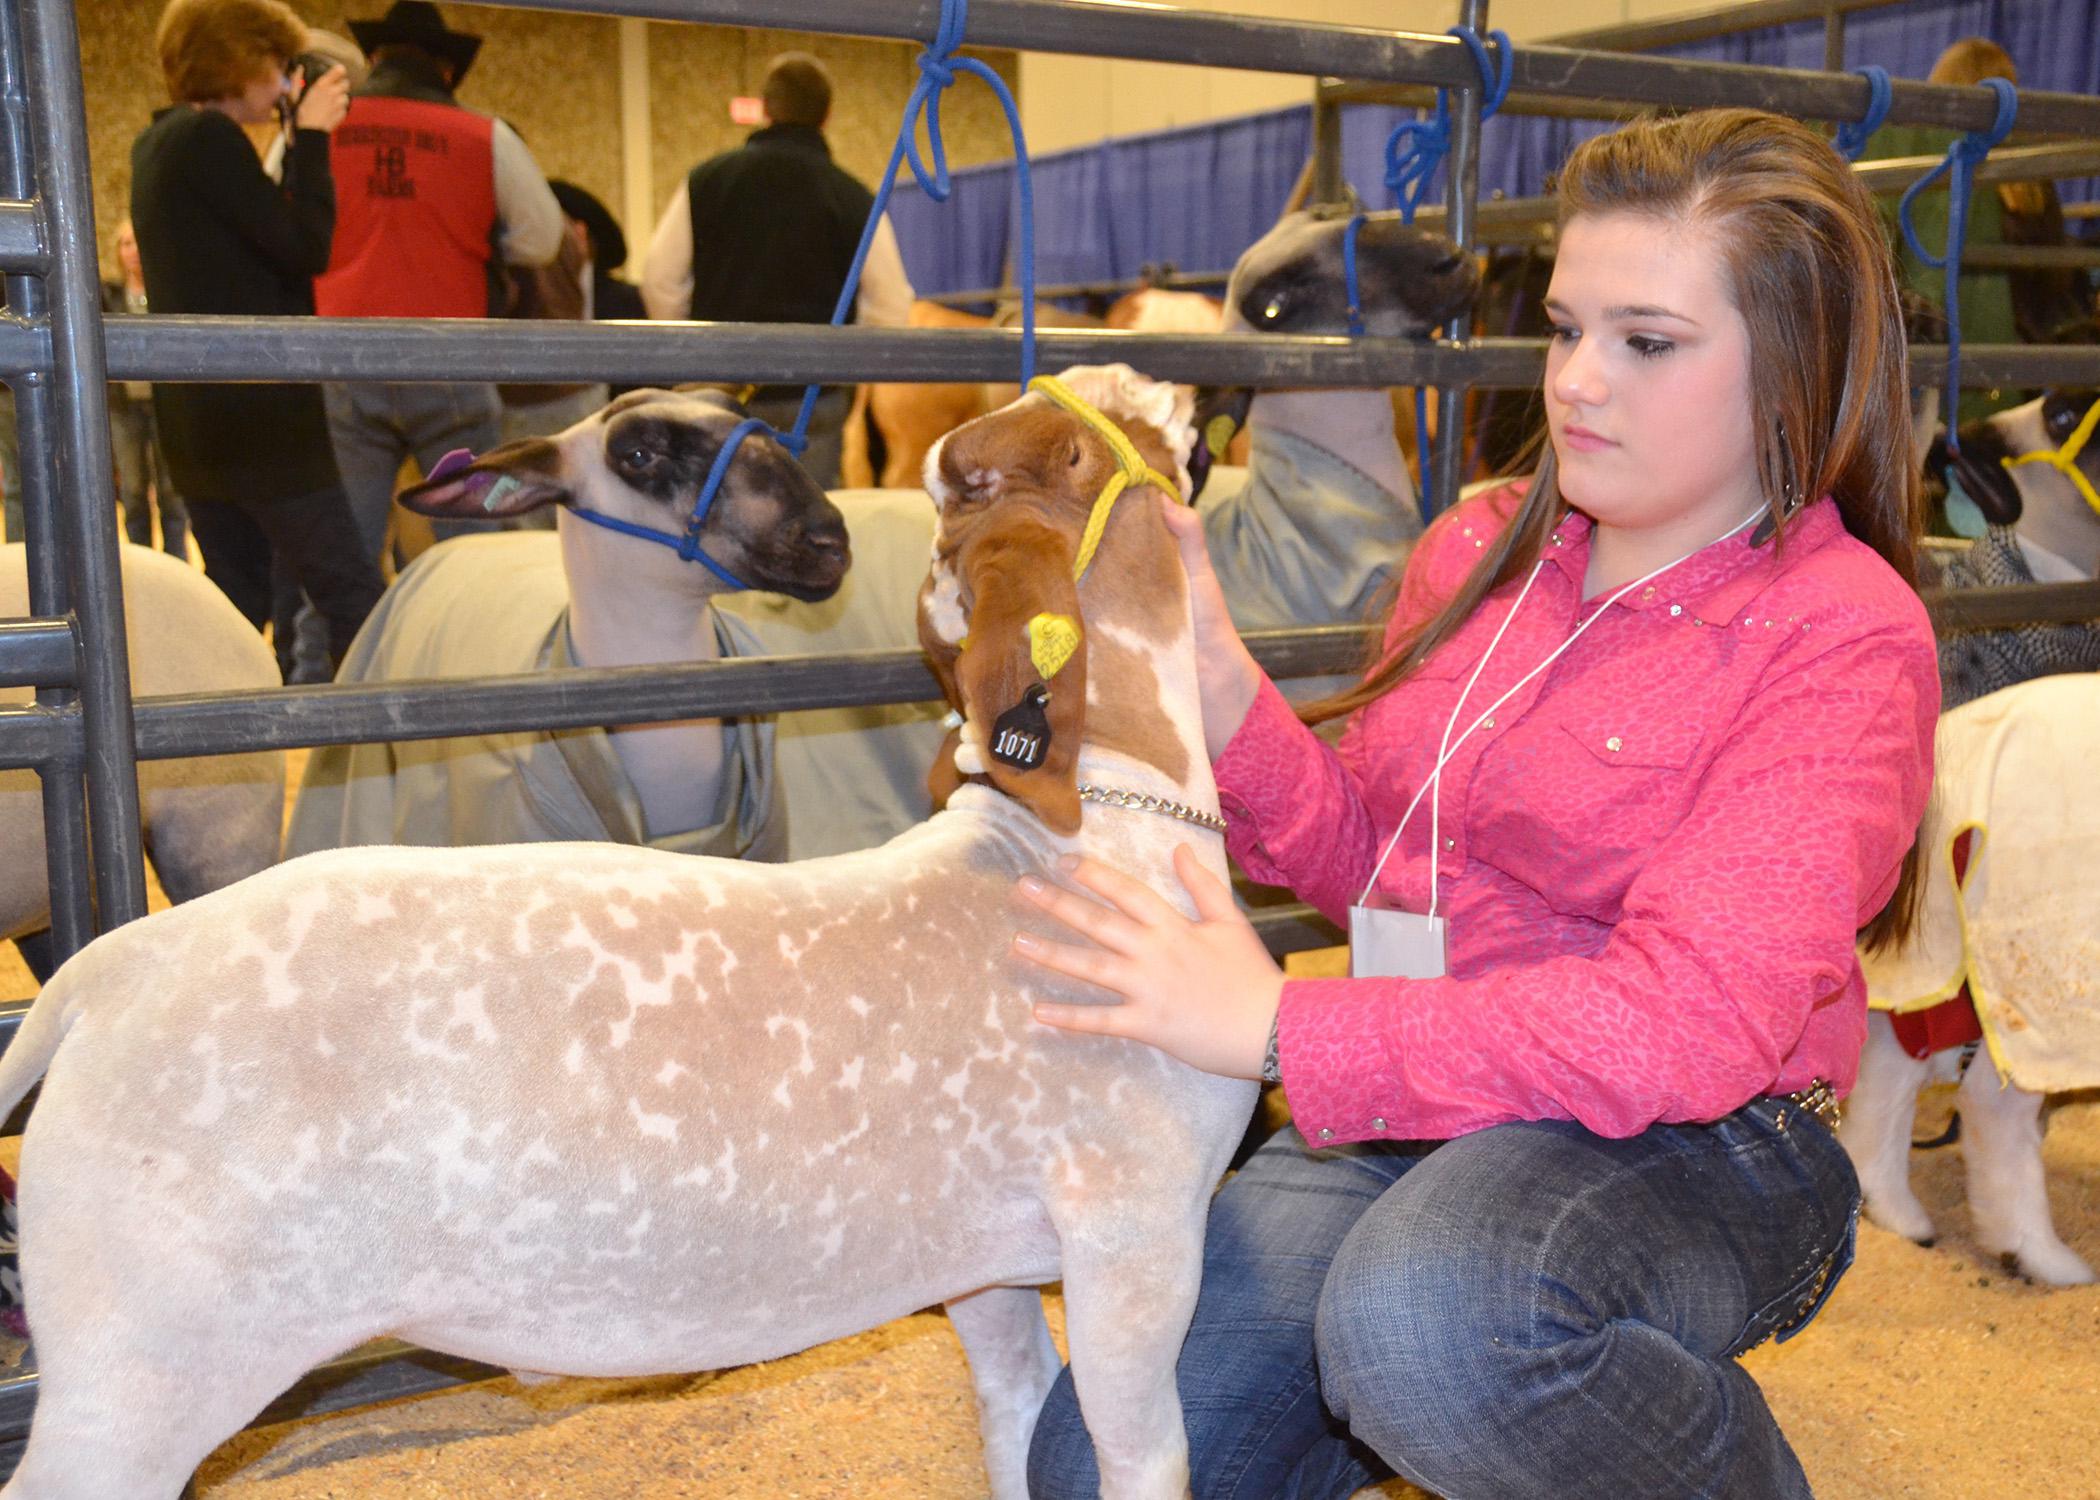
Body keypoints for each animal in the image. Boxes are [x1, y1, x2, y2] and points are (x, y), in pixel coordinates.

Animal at [0, 365, 1243, 1495]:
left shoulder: (982, 1268)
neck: (1086, 842)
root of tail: (106, 974)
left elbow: (1016, 1414)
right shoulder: (1134, 1236)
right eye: (1075, 448)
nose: (1180, 384)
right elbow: (1141, 1453)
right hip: (146, 1366)